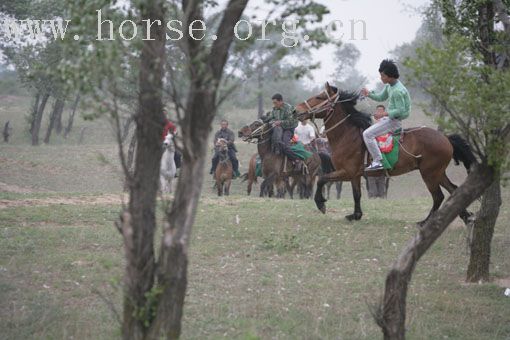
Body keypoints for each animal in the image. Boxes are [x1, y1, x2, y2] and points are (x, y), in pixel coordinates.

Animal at [294, 83, 474, 226]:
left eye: (319, 96)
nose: (296, 110)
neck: (347, 136)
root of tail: (445, 138)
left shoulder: (346, 172)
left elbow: (322, 180)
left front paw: (321, 204)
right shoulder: (355, 175)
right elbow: (357, 195)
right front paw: (356, 215)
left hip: (429, 174)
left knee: (438, 197)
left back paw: (426, 221)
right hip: (438, 173)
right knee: (454, 191)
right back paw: (465, 217)